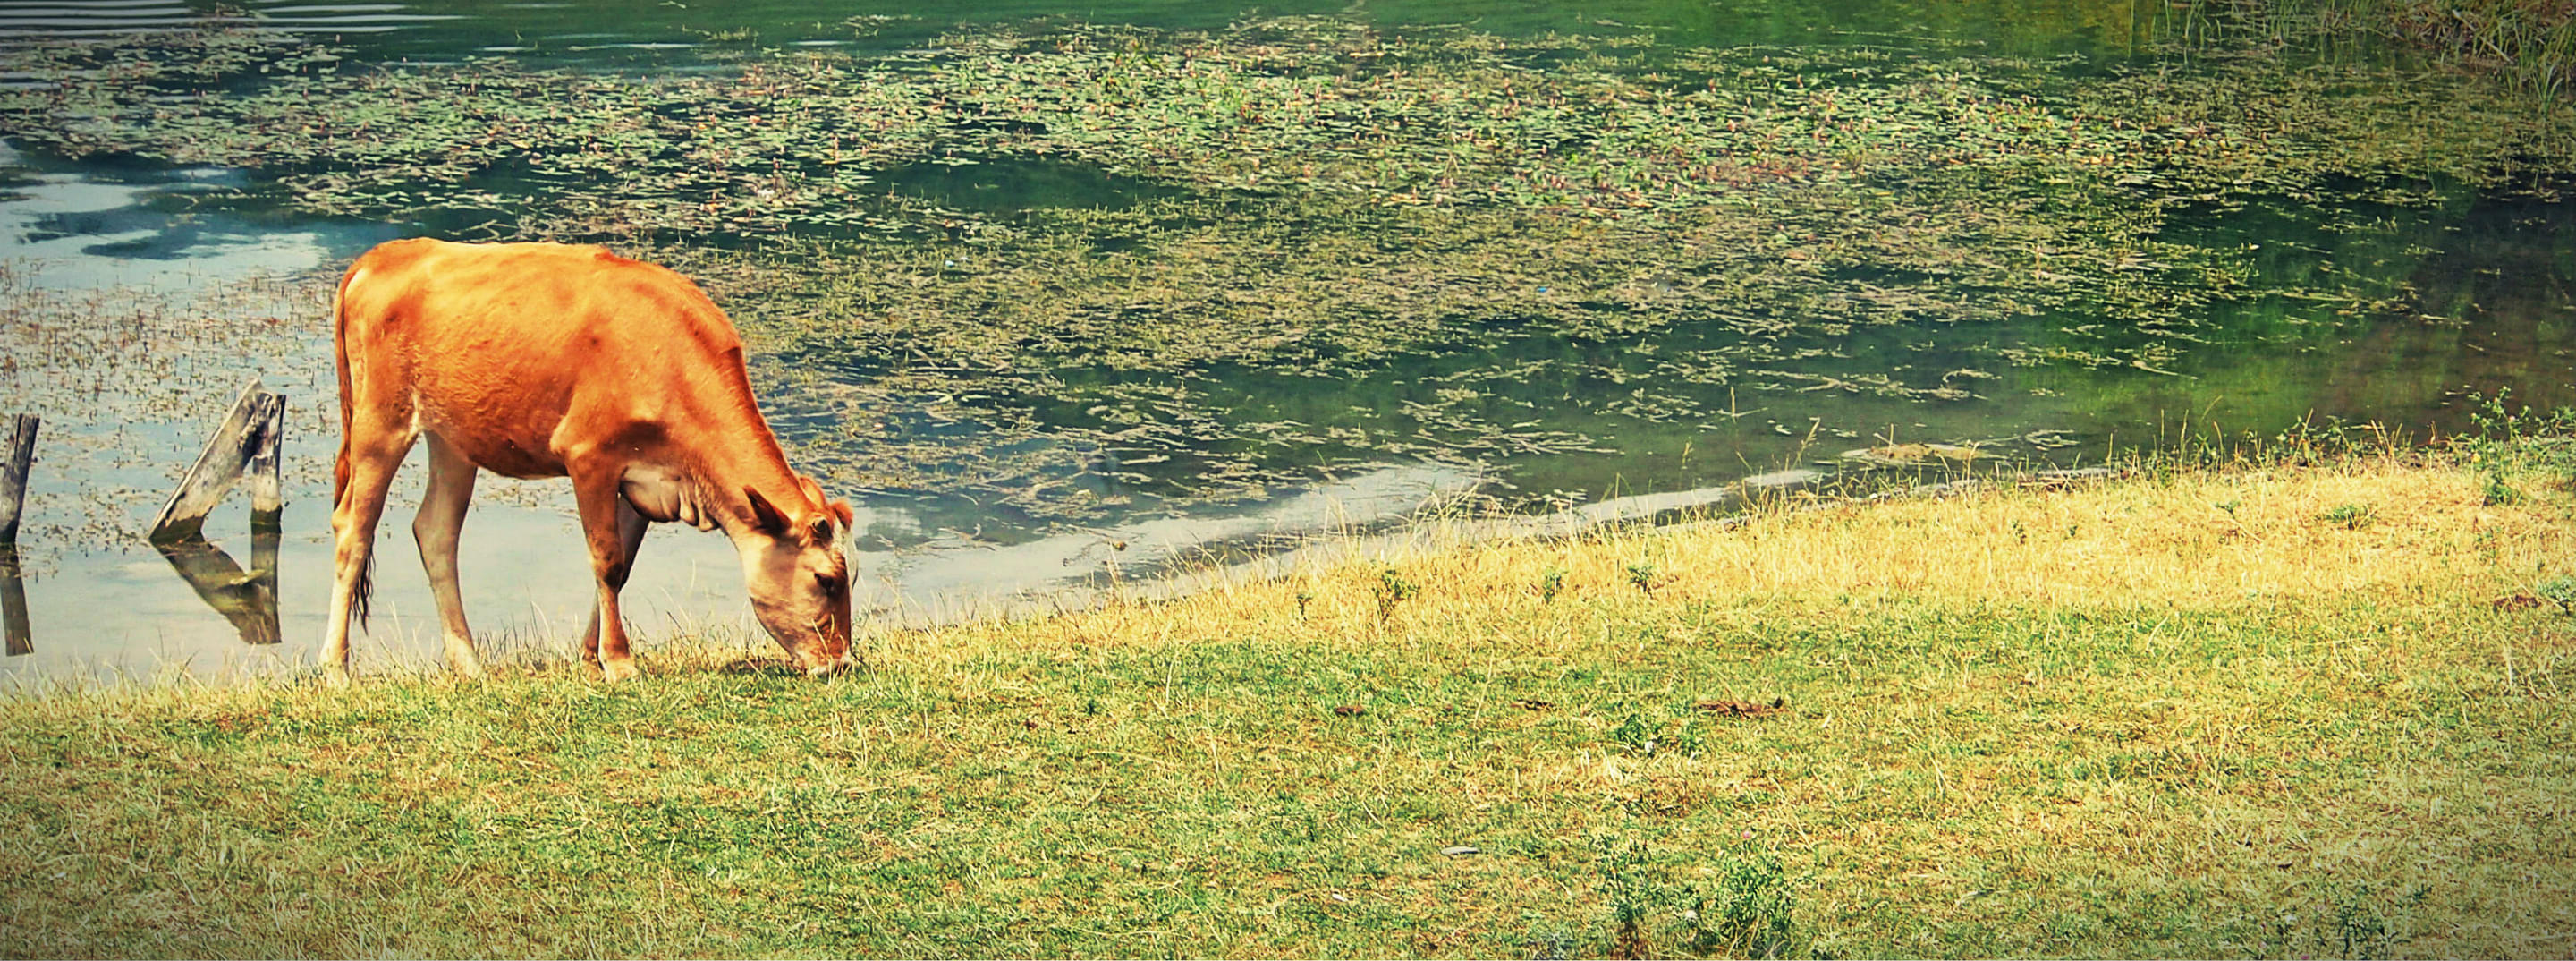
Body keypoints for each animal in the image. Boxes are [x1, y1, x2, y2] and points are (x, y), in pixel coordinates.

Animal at [322, 235, 855, 680]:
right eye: (827, 580)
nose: (841, 662)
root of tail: (385, 255)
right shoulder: (588, 456)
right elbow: (607, 560)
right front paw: (619, 662)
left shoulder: (645, 483)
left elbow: (624, 565)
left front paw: (590, 657)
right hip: (380, 420)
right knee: (354, 529)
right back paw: (336, 669)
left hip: (451, 437)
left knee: (435, 531)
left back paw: (469, 662)